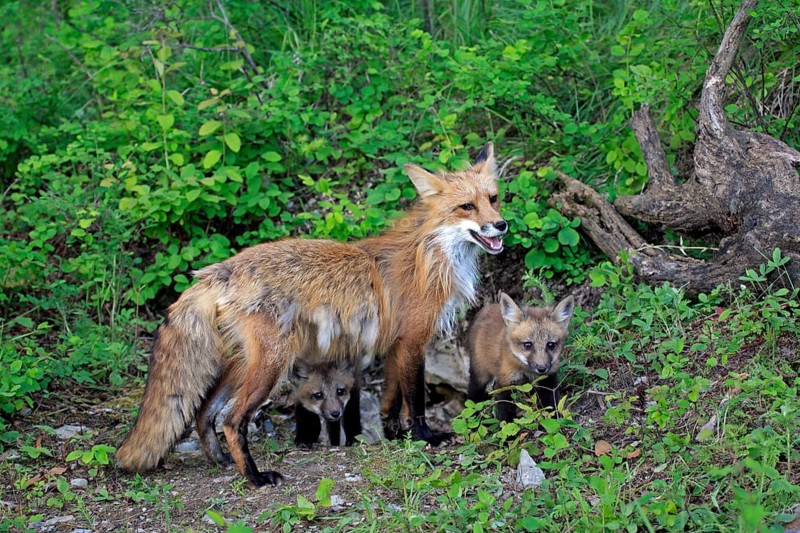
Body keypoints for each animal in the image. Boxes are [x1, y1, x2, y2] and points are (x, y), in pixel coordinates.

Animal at [115, 142, 507, 487]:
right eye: (466, 206)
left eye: (493, 199)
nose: (501, 225)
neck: (431, 256)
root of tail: (218, 270)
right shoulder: (413, 340)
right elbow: (415, 400)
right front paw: (426, 437)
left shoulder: (395, 345)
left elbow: (391, 401)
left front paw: (395, 437)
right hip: (272, 364)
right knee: (231, 419)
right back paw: (254, 477)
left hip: (244, 363)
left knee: (203, 412)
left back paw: (222, 461)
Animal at [467, 292, 575, 423]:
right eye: (527, 345)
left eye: (551, 345)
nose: (542, 368)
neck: (525, 370)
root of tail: (487, 307)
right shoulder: (504, 383)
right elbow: (506, 413)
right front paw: (508, 428)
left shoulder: (547, 379)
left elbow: (550, 405)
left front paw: (554, 421)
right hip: (480, 375)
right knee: (472, 397)